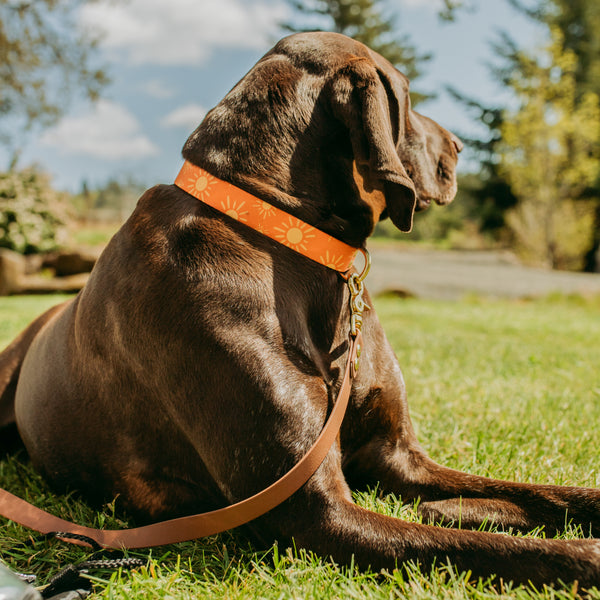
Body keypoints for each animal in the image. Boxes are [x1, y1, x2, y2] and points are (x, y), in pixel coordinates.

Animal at [1, 32, 600, 584]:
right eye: (406, 96)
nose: (457, 144)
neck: (281, 234)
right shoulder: (313, 511)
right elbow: (489, 548)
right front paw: (579, 551)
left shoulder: (398, 457)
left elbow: (544, 496)